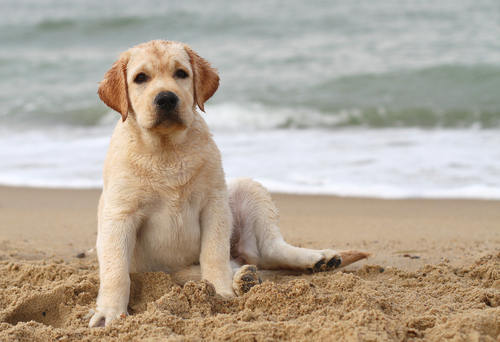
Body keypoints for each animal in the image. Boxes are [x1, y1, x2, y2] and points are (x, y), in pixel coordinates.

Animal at [89, 41, 368, 328]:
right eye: (140, 78)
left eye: (181, 73)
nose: (166, 98)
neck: (167, 151)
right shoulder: (119, 215)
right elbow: (115, 270)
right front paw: (110, 311)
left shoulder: (215, 204)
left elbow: (213, 253)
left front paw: (220, 291)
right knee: (240, 263)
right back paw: (245, 278)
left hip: (247, 190)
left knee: (270, 250)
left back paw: (317, 259)